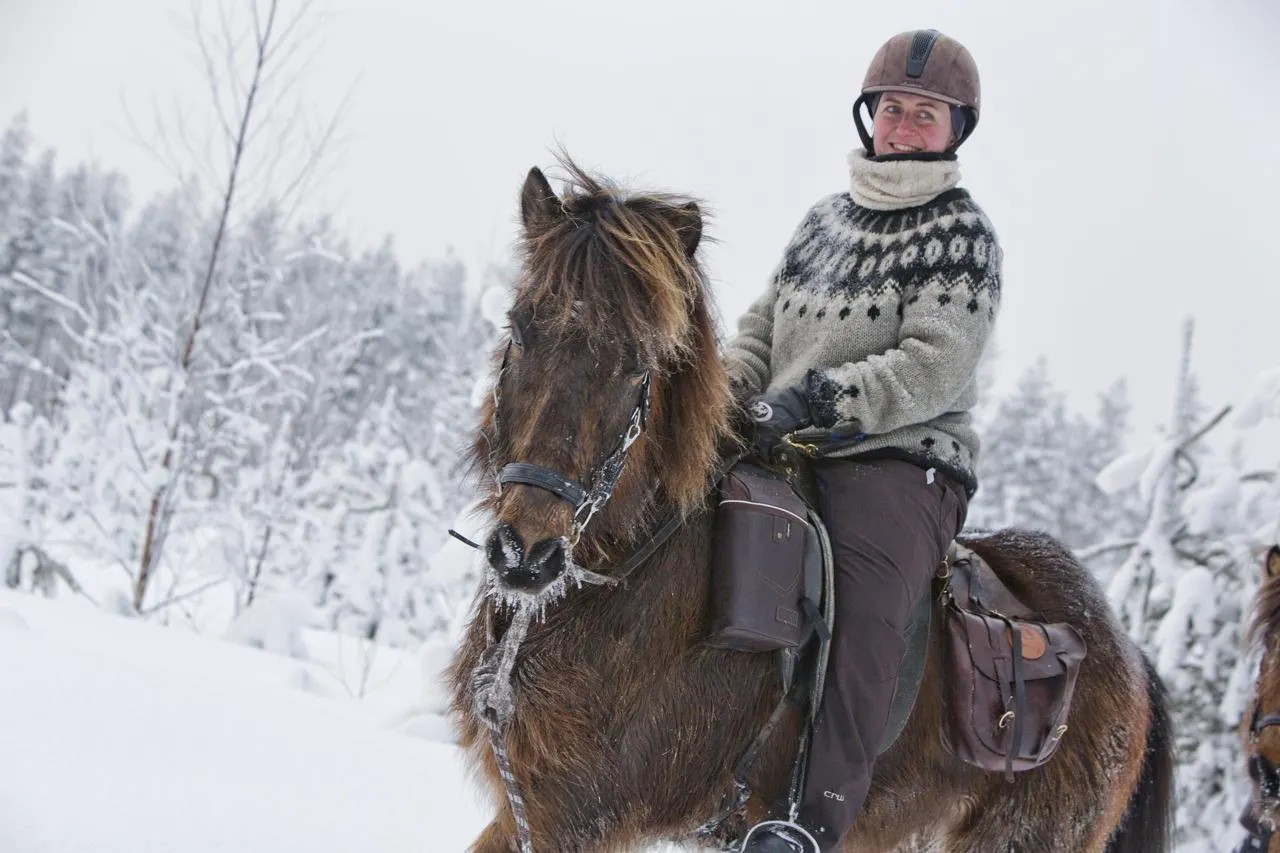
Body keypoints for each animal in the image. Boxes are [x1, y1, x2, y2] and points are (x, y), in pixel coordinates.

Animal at [446, 158, 1175, 853]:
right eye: (520, 330)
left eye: (639, 364)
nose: (526, 553)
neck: (636, 570)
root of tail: (1130, 657)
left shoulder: (573, 814)